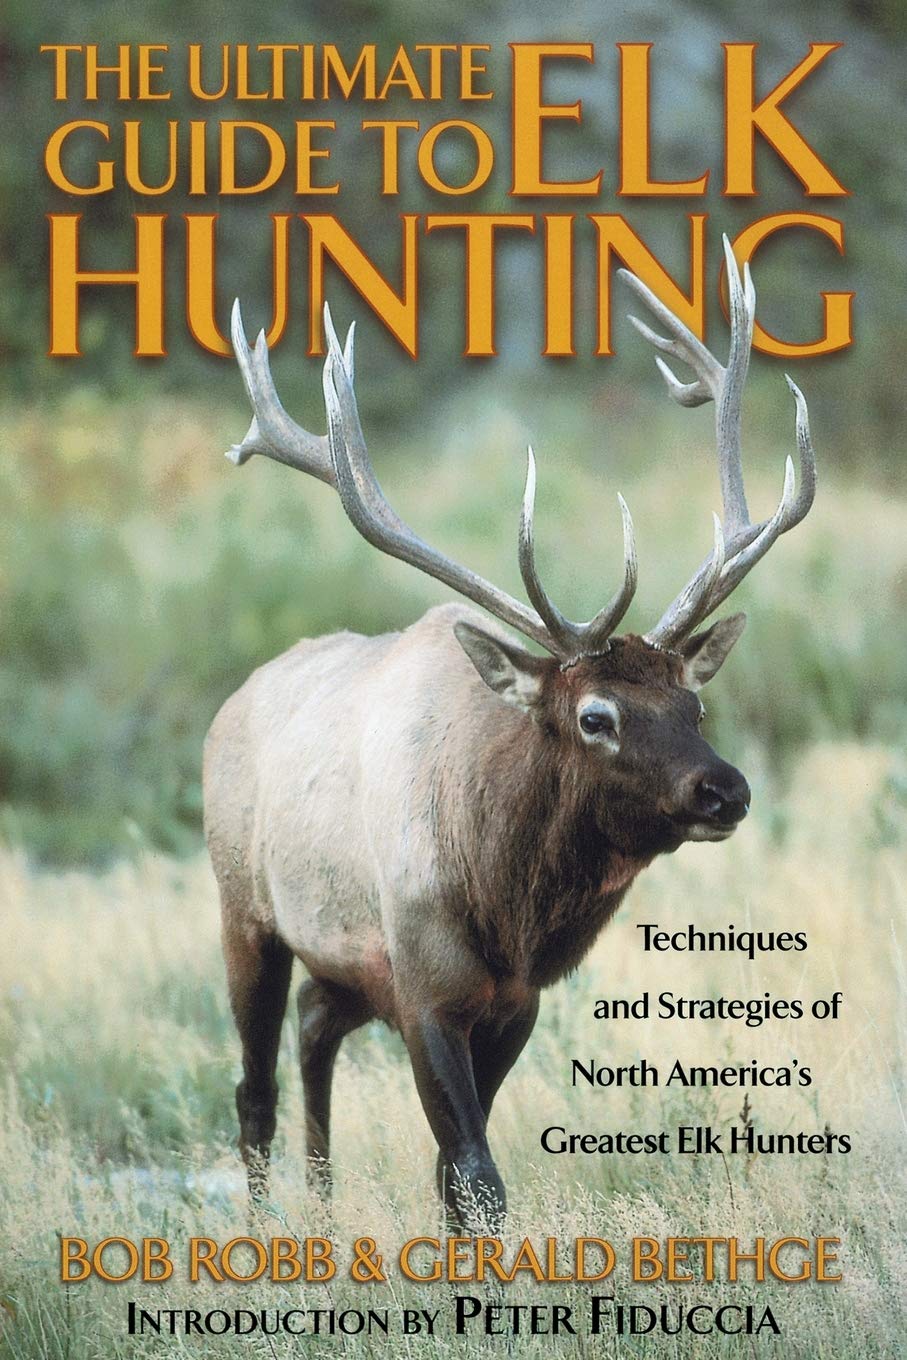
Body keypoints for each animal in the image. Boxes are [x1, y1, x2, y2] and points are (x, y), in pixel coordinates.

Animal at [203, 238, 816, 1227]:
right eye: (596, 715)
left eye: (694, 706)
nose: (725, 789)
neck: (505, 906)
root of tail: (231, 703)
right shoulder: (424, 986)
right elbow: (477, 1175)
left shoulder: (514, 1002)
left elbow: (453, 1176)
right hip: (243, 911)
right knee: (253, 1087)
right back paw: (267, 1226)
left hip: (340, 963)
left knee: (312, 1031)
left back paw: (324, 1211)